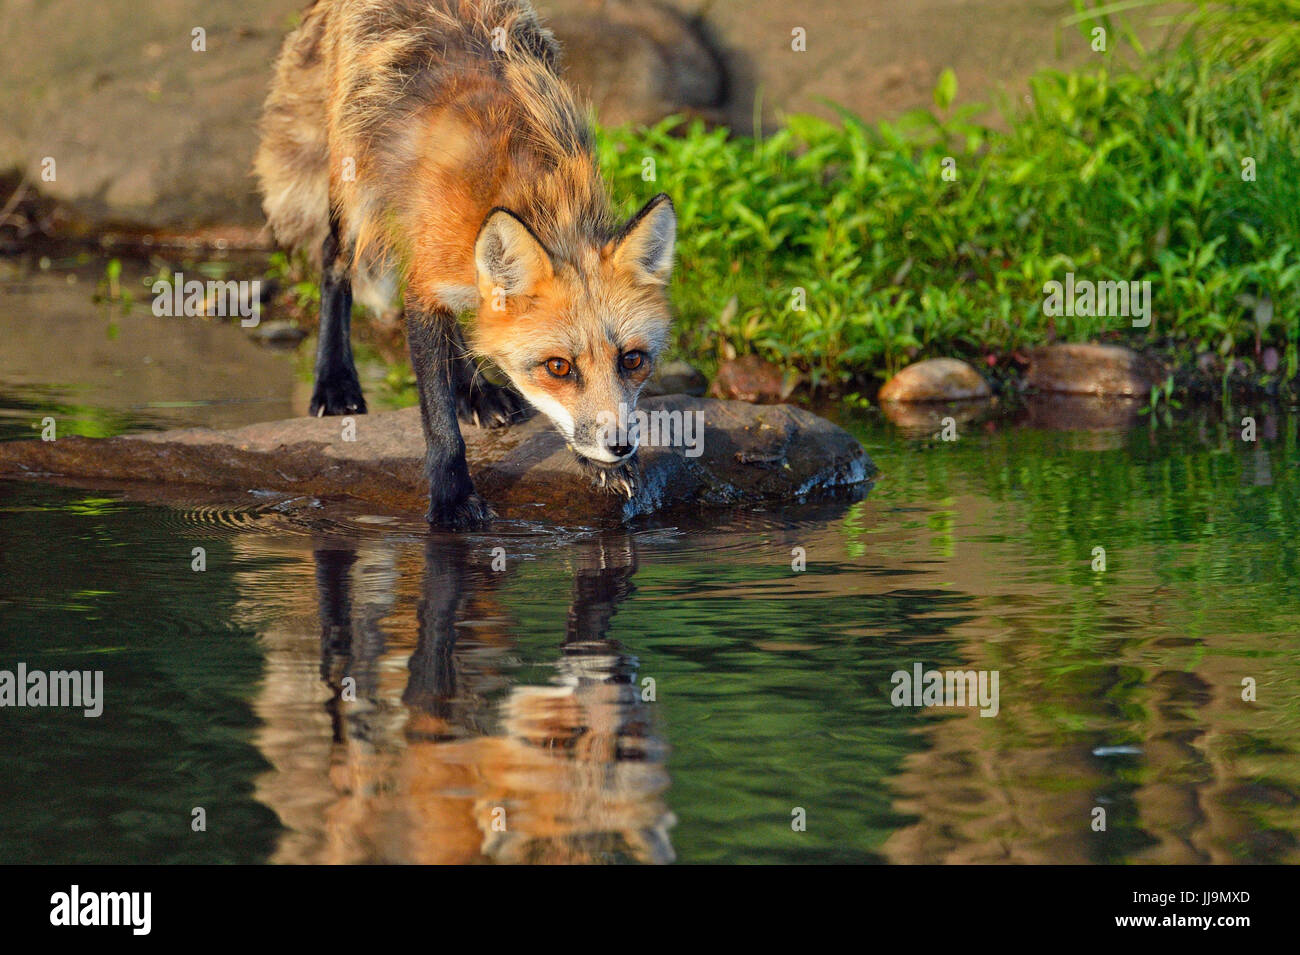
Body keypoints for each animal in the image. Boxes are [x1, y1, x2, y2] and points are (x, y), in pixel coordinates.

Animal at [255, 0, 677, 529]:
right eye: (558, 367)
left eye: (633, 360)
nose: (618, 446)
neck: (523, 189)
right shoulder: (423, 282)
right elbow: (436, 417)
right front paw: (452, 497)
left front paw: (596, 463)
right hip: (352, 189)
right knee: (335, 265)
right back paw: (335, 381)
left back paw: (476, 393)